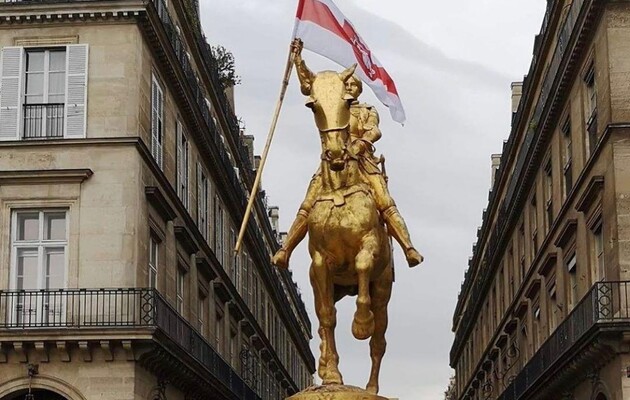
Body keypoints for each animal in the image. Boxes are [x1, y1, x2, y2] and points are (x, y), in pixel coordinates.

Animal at [298, 65, 392, 394]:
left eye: (347, 101)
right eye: (313, 106)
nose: (337, 153)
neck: (339, 189)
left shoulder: (369, 244)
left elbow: (362, 264)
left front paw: (361, 323)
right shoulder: (320, 263)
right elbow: (327, 318)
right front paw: (332, 375)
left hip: (383, 289)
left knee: (379, 342)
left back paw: (372, 388)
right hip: (322, 287)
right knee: (324, 320)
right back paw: (327, 368)